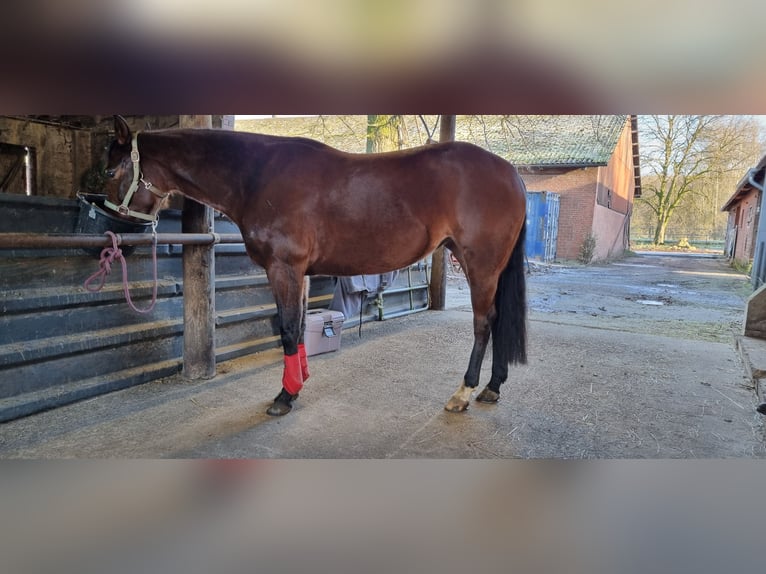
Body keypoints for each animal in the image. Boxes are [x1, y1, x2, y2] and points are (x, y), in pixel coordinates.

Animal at [103, 115, 527, 416]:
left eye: (110, 170)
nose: (114, 224)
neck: (257, 176)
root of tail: (510, 172)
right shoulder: (301, 272)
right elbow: (301, 324)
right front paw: (299, 381)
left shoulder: (283, 267)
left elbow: (288, 328)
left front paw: (284, 395)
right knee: (498, 319)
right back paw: (492, 387)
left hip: (480, 263)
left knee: (484, 322)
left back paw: (464, 392)